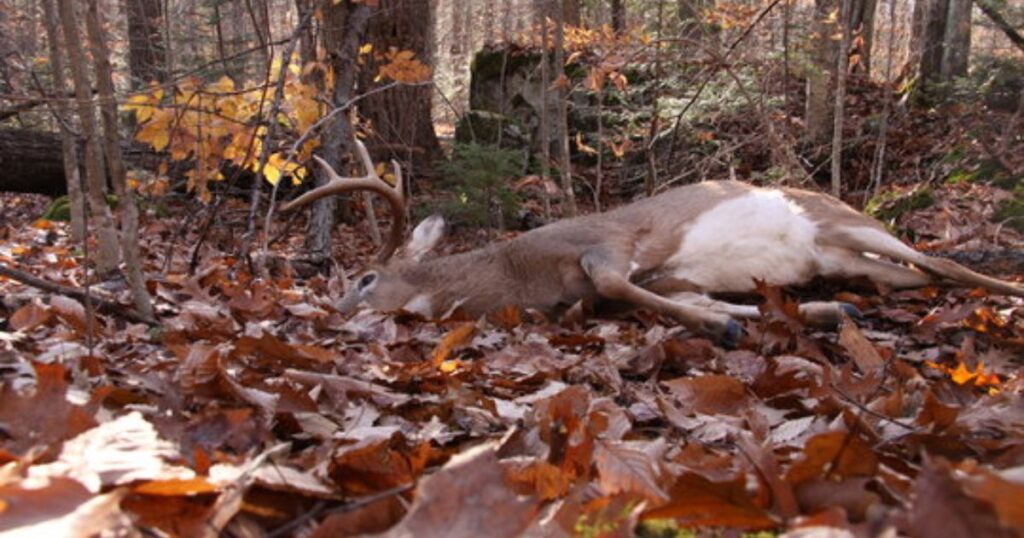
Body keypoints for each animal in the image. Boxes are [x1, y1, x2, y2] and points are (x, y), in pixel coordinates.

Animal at [281, 140, 1024, 347]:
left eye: (365, 278)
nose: (329, 313)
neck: (518, 274)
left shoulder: (606, 240)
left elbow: (618, 282)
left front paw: (724, 328)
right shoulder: (653, 282)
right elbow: (679, 298)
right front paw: (808, 312)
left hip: (843, 221)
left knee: (944, 260)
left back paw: (1010, 292)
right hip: (846, 258)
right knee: (923, 277)